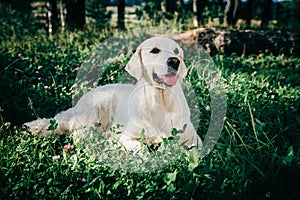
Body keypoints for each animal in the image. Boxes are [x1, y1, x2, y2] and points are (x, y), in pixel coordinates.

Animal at [24, 36, 203, 151]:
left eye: (176, 51)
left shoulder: (195, 139)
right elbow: (142, 149)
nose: (174, 61)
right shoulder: (128, 136)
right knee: (76, 133)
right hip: (100, 102)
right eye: (155, 50)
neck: (160, 100)